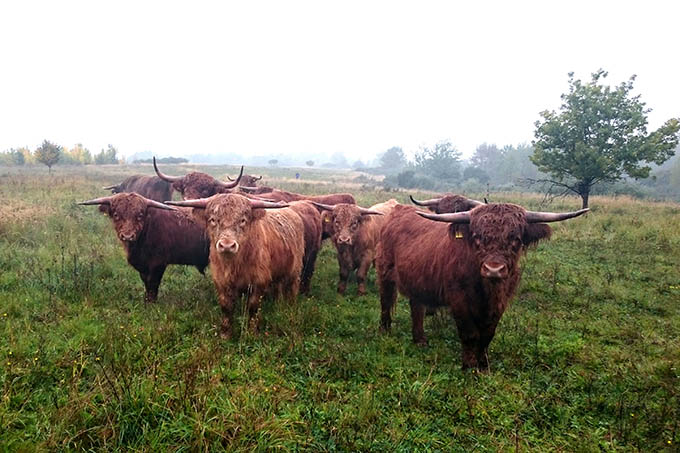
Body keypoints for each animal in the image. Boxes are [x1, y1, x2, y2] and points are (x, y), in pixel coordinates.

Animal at [166, 192, 304, 338]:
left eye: (242, 220)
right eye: (213, 220)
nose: (227, 245)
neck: (234, 265)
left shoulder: (259, 282)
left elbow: (253, 307)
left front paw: (252, 332)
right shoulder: (221, 281)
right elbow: (226, 306)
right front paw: (225, 334)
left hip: (295, 270)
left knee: (293, 287)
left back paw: (290, 307)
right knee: (279, 287)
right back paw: (278, 305)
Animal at [374, 203, 588, 370]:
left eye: (516, 239)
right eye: (477, 237)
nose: (494, 269)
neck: (488, 289)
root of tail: (399, 210)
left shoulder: (501, 302)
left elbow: (487, 334)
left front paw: (484, 365)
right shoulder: (459, 299)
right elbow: (469, 334)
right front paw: (469, 366)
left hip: (418, 279)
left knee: (416, 306)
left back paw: (420, 340)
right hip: (384, 272)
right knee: (385, 302)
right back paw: (384, 331)